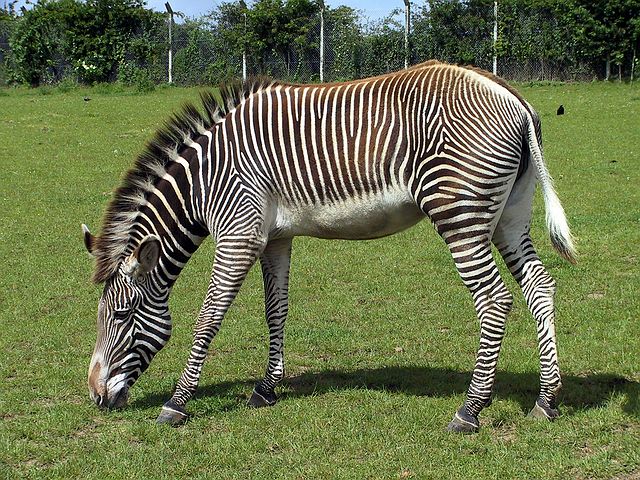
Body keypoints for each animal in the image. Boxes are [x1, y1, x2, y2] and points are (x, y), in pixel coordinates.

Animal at [81, 60, 576, 432]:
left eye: (121, 315)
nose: (96, 395)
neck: (206, 177)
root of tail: (512, 96)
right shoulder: (275, 236)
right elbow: (275, 309)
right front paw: (266, 388)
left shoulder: (239, 232)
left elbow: (208, 318)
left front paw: (177, 403)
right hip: (509, 214)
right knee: (539, 286)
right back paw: (547, 400)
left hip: (461, 214)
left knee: (495, 300)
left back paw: (470, 409)